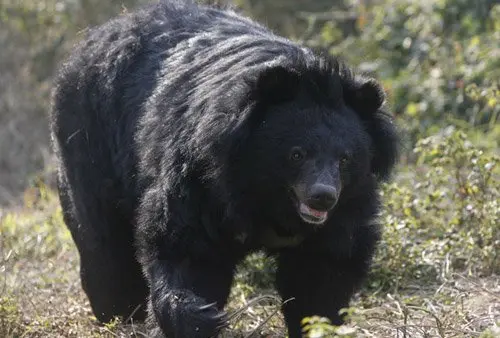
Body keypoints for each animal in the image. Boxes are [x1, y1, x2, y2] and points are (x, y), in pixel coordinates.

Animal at [49, 1, 398, 336]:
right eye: (297, 154)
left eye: (345, 159)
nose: (322, 197)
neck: (266, 197)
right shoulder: (199, 180)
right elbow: (186, 247)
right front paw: (201, 316)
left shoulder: (346, 209)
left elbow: (322, 267)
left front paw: (318, 324)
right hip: (89, 141)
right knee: (103, 240)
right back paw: (119, 312)